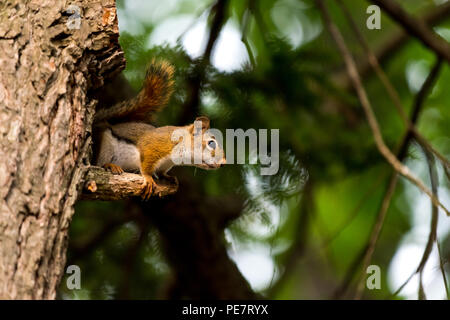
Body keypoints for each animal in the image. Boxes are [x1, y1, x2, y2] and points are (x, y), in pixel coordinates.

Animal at [93, 59, 227, 199]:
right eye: (211, 143)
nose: (223, 163)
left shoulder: (166, 164)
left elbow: (162, 172)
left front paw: (169, 177)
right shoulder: (154, 145)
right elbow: (146, 164)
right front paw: (148, 178)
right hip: (105, 144)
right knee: (97, 162)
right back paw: (110, 165)